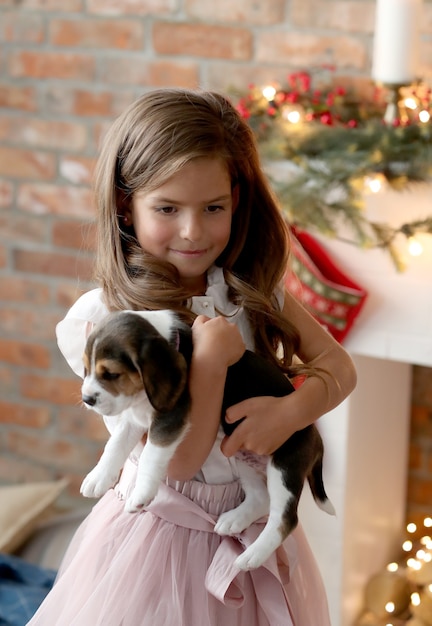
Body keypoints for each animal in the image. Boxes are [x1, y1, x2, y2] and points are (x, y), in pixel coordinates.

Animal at [82, 310, 338, 568]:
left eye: (112, 374)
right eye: (86, 369)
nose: (87, 399)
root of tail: (316, 436)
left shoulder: (169, 417)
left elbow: (150, 455)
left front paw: (141, 493)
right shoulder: (133, 416)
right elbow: (115, 445)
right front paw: (98, 478)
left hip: (283, 467)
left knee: (285, 519)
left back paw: (252, 556)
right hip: (241, 455)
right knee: (261, 497)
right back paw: (235, 520)